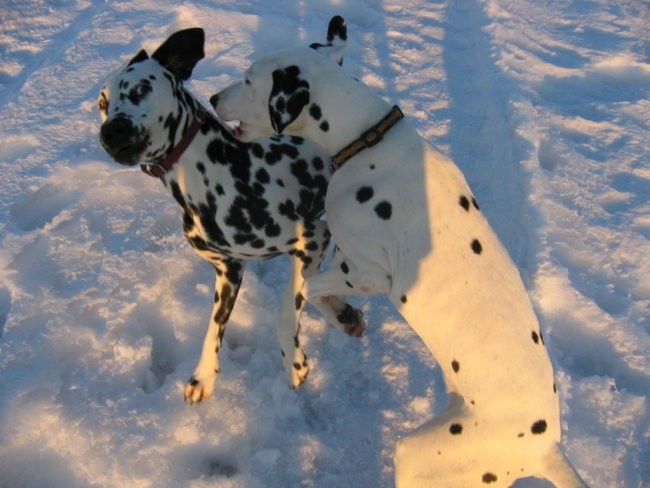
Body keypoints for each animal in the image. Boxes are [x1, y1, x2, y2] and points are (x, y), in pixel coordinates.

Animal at [97, 28, 362, 406]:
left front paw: (293, 362)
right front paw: (204, 375)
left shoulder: (312, 237)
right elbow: (213, 329)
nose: (111, 132)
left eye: (140, 90)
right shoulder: (228, 270)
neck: (212, 170)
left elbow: (287, 311)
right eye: (102, 105)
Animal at [213, 16, 588, 488]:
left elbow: (296, 296)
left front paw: (295, 354)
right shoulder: (344, 261)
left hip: (419, 456)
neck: (365, 140)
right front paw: (344, 317)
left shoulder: (370, 274)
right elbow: (313, 292)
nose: (212, 98)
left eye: (248, 79)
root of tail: (544, 449)